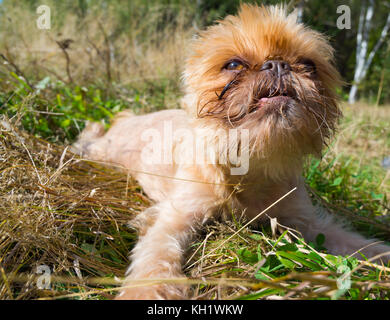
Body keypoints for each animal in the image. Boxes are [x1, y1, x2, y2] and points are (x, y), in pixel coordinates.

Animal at [73, 5, 390, 300]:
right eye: (234, 64)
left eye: (308, 65)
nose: (278, 64)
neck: (251, 169)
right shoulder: (174, 217)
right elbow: (156, 258)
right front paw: (147, 292)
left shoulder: (308, 222)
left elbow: (357, 243)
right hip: (105, 151)